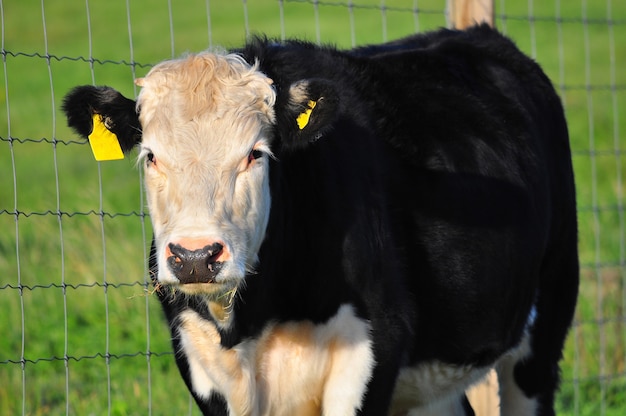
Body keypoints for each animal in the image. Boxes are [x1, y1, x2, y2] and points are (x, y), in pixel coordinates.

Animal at [62, 25, 576, 416]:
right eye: (151, 156)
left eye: (256, 153)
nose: (195, 257)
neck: (251, 322)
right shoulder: (200, 360)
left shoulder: (374, 349)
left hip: (546, 322)